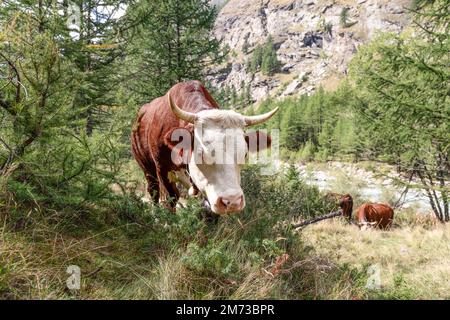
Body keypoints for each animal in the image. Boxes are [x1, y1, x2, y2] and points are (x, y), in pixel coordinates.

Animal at [130, 81, 278, 214]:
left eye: (245, 154)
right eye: (201, 154)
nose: (232, 202)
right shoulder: (162, 169)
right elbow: (171, 199)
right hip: (147, 168)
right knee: (153, 191)